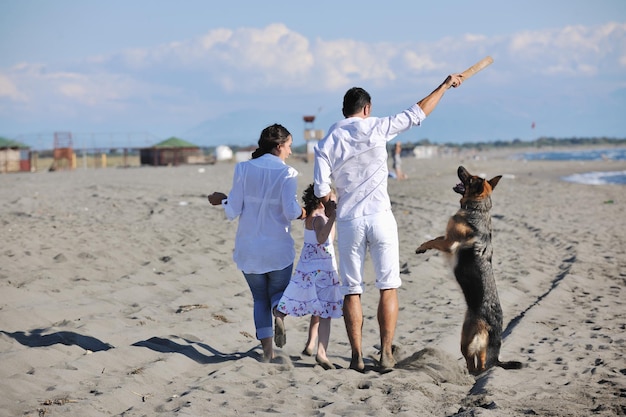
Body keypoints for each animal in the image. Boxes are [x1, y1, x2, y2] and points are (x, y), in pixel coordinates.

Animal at [412, 166, 520, 374]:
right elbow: (435, 237)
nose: (460, 167)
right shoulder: (447, 238)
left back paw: (467, 373)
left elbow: (434, 240)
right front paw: (423, 247)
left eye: (470, 179)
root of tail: (494, 328)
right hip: (477, 343)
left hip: (466, 339)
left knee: (474, 364)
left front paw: (422, 247)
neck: (478, 208)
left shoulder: (448, 242)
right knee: (482, 362)